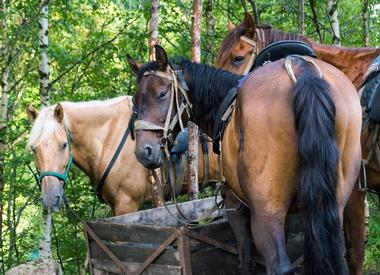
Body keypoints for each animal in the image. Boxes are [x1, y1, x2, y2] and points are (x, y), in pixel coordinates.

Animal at [128, 45, 362, 275]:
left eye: (162, 94)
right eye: (134, 101)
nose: (144, 151)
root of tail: (302, 68)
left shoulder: (236, 207)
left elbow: (246, 259)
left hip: (265, 210)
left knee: (279, 266)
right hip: (333, 204)